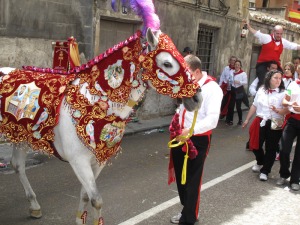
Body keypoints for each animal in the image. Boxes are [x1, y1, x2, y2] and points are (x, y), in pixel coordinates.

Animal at [0, 0, 202, 224]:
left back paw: (34, 206)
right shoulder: (78, 161)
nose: (197, 98)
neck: (94, 103)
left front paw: (79, 219)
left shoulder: (98, 161)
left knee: (17, 165)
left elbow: (85, 195)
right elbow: (96, 199)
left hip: (20, 134)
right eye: (167, 63)